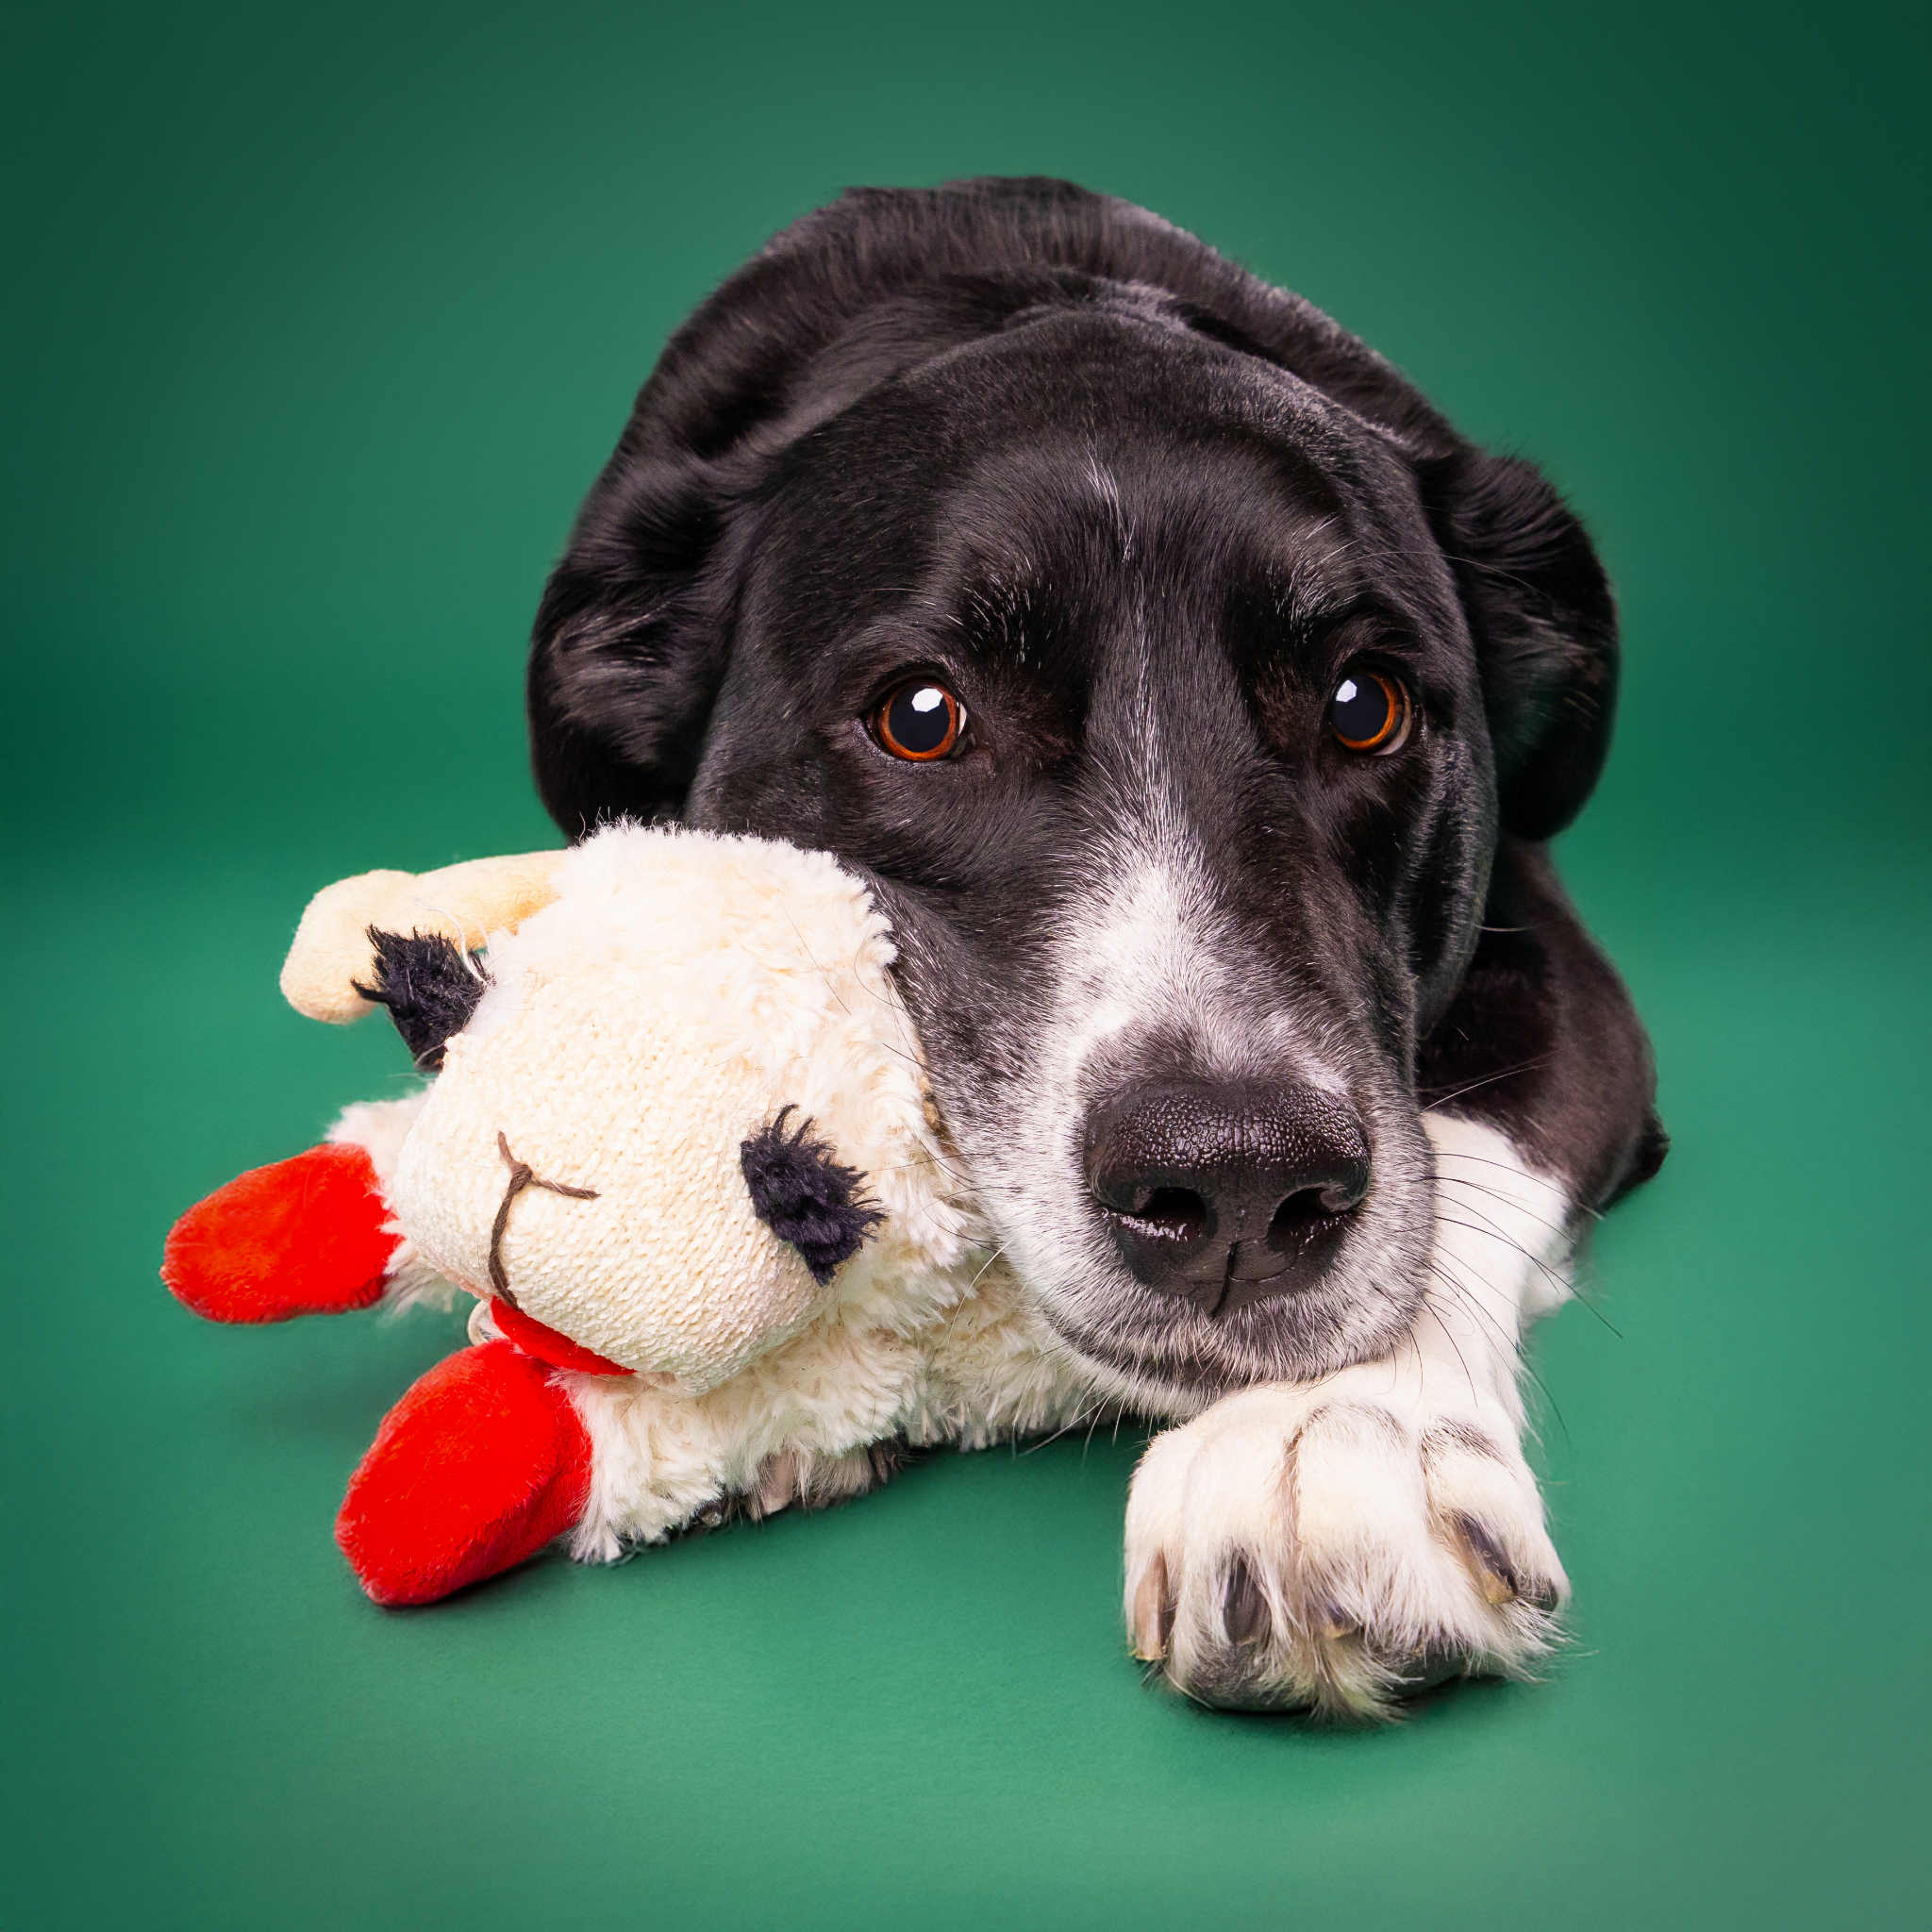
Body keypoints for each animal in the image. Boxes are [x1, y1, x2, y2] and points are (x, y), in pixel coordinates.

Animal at [523, 177, 1664, 1715]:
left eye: (1364, 703)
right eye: (922, 716)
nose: (1236, 1182)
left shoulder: (1556, 951)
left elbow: (1476, 1131)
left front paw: (1333, 1434)